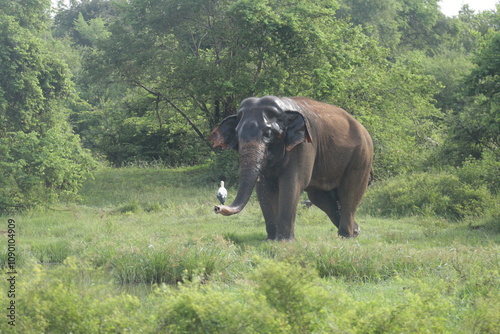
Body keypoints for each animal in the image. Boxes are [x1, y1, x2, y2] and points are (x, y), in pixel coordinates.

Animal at [209, 96, 374, 240]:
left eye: (268, 134)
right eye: (237, 135)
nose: (217, 208)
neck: (283, 107)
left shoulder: (304, 145)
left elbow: (292, 183)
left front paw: (283, 241)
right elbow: (263, 187)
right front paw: (270, 240)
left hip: (361, 156)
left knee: (349, 193)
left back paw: (346, 236)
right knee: (321, 198)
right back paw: (355, 231)